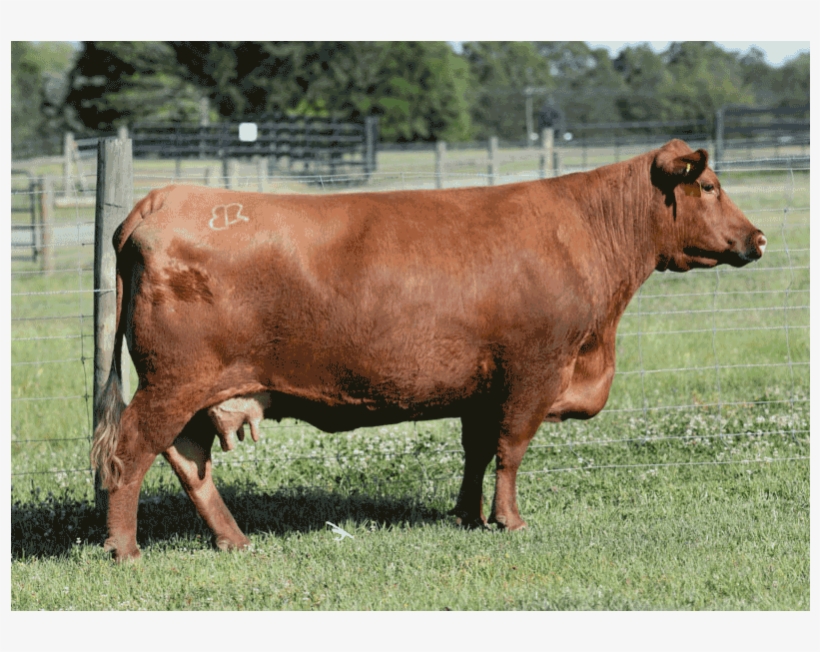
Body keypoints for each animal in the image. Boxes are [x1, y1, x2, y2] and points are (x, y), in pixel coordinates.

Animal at [91, 139, 766, 561]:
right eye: (710, 185)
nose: (758, 238)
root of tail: (160, 201)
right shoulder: (533, 370)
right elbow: (511, 451)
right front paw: (508, 521)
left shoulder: (482, 385)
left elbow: (477, 451)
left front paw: (468, 516)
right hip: (174, 382)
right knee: (129, 452)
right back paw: (125, 549)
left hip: (192, 391)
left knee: (187, 459)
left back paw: (233, 540)